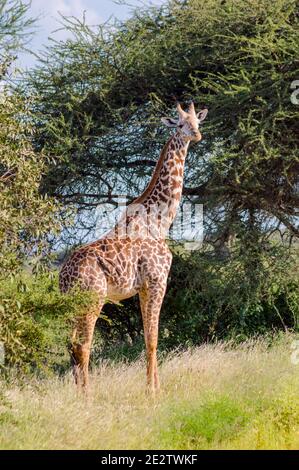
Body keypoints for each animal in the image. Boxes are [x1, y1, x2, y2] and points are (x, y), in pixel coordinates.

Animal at [58, 103, 209, 392]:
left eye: (197, 121)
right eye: (179, 124)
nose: (196, 134)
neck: (160, 220)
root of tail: (63, 277)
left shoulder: (142, 288)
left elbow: (149, 338)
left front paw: (155, 387)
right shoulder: (157, 281)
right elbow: (153, 339)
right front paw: (153, 392)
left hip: (73, 304)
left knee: (70, 345)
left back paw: (76, 392)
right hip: (93, 298)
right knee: (83, 346)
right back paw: (87, 396)